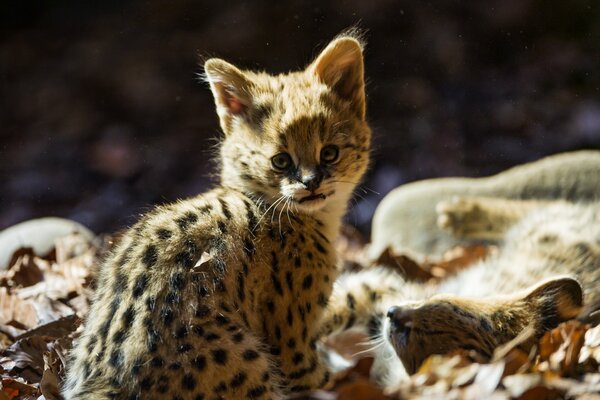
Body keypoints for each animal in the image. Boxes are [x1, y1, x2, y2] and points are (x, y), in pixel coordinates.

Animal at [62, 35, 370, 400]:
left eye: (330, 153)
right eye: (280, 161)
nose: (311, 183)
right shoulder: (295, 353)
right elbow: (327, 376)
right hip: (248, 360)